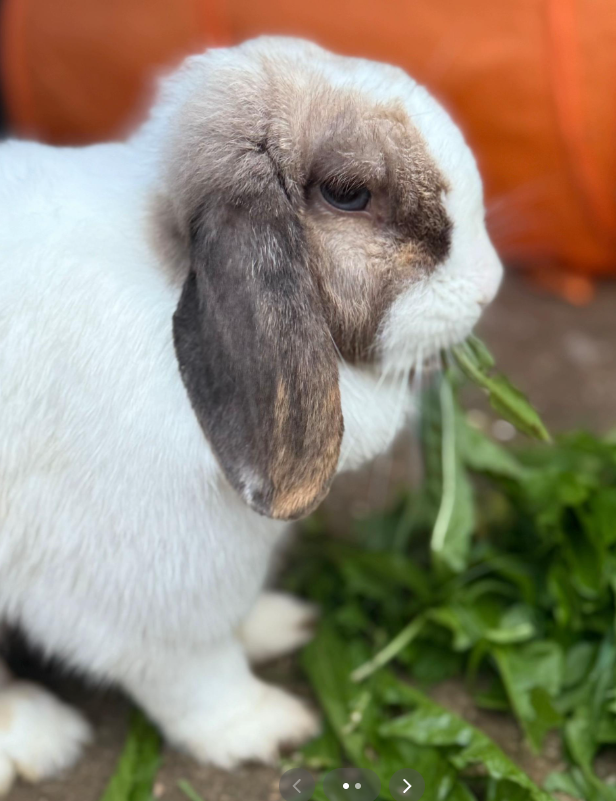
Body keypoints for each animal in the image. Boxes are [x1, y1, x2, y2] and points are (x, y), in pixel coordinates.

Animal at [0, 36, 502, 792]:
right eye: (348, 192)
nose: (488, 285)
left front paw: (276, 624)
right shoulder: (143, 594)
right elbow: (193, 674)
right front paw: (266, 727)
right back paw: (40, 735)